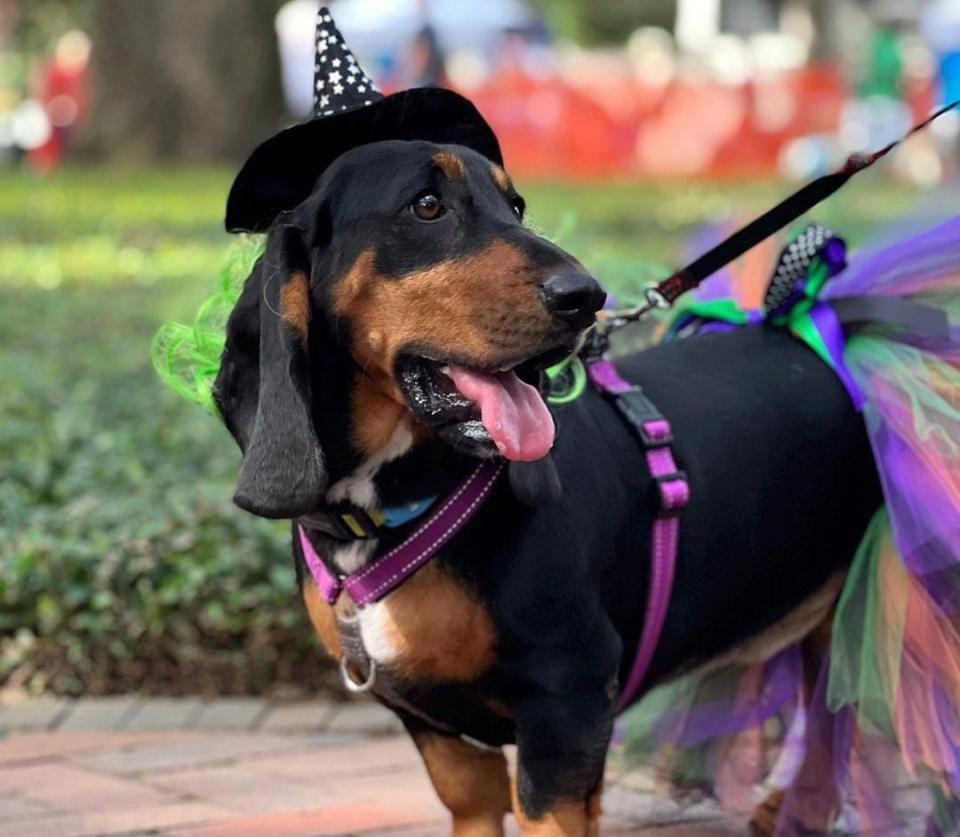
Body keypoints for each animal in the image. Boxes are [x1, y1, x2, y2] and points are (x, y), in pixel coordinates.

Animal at [214, 140, 880, 832]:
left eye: (515, 206)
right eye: (426, 205)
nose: (586, 296)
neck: (390, 509)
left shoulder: (568, 701)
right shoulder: (439, 732)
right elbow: (473, 798)